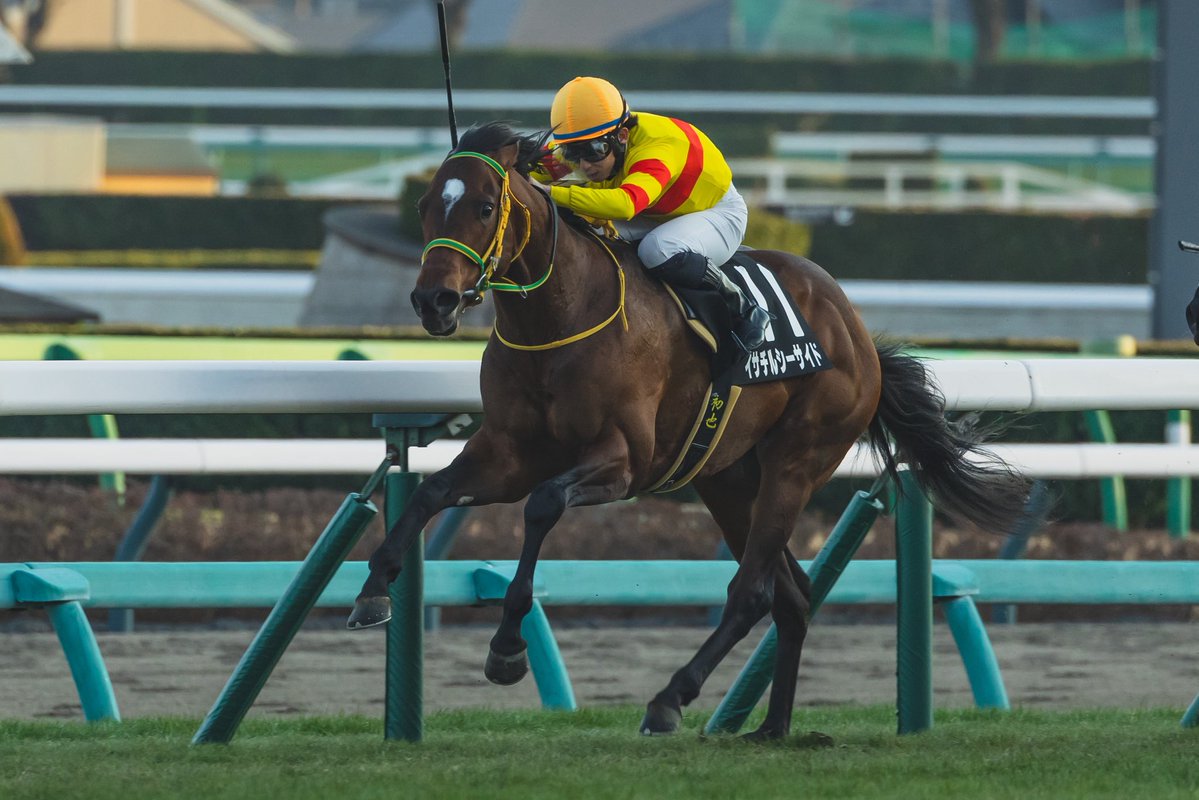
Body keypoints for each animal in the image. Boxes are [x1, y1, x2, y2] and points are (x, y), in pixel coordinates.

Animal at [347, 122, 1029, 739]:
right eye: (425, 205)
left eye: (485, 207)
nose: (432, 301)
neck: (560, 315)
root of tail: (856, 330)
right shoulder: (509, 451)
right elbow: (434, 491)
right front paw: (374, 590)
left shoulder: (623, 461)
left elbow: (542, 505)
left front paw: (508, 646)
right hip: (727, 478)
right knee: (792, 593)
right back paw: (771, 728)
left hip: (796, 461)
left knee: (752, 591)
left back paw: (670, 700)